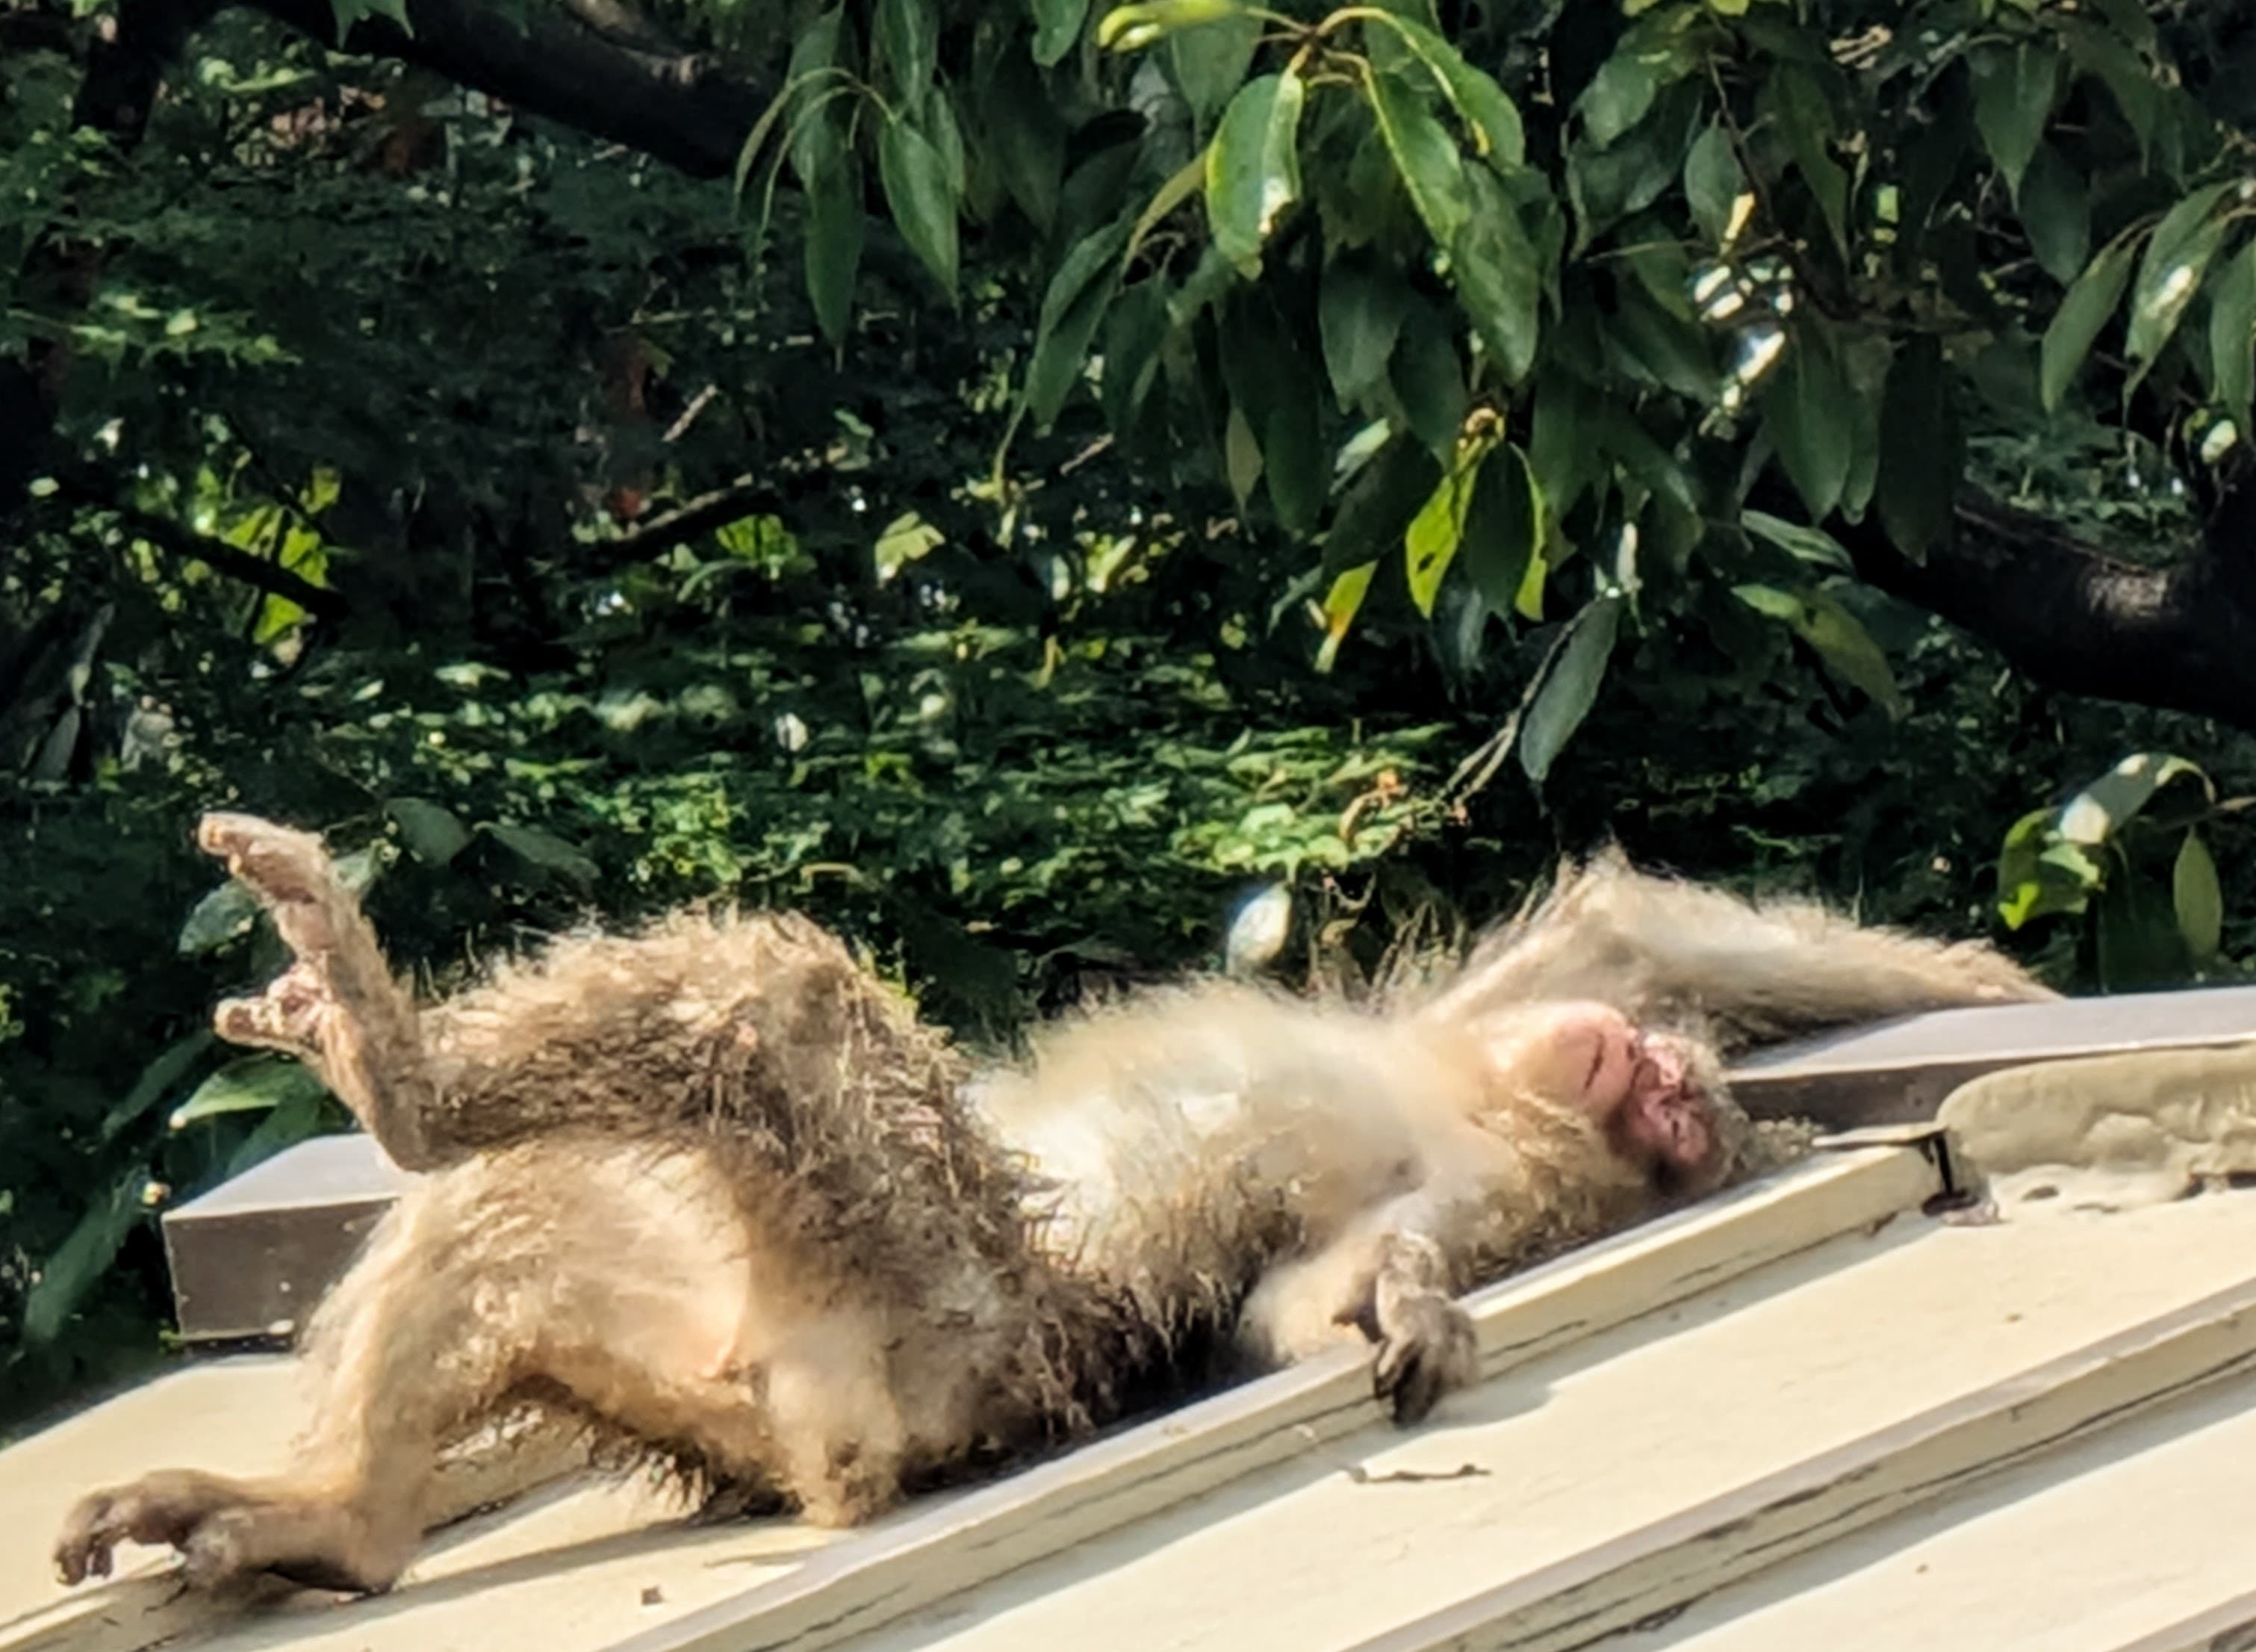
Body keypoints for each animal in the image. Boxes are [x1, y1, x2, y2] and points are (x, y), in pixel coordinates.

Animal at [51, 816, 2052, 1597]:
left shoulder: (1499, 1175)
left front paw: (1401, 1307)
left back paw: (399, 1080)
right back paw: (342, 1518)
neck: (1492, 1097)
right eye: (1645, 1081)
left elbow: (1324, 1280)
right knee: (512, 1218)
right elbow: (1630, 930)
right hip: (750, 1338)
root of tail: (840, 1431)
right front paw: (1983, 983)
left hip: (921, 1275)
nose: (1651, 1088)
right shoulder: (1508, 1039)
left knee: (762, 1005)